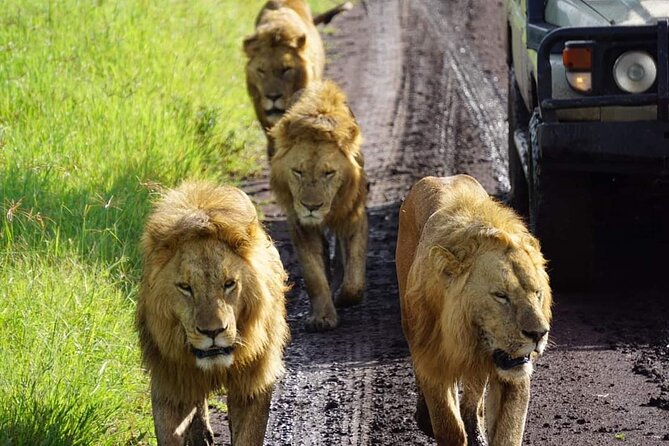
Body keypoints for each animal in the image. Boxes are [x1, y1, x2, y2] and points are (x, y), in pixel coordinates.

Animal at [135, 181, 290, 445]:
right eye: (185, 287)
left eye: (229, 284)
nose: (213, 332)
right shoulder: (169, 381)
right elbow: (169, 433)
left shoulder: (252, 384)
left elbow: (248, 435)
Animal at [269, 79, 368, 332]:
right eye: (298, 171)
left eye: (329, 173)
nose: (311, 206)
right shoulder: (299, 223)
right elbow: (313, 274)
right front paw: (322, 318)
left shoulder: (353, 213)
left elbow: (355, 278)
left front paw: (343, 296)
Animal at [396, 175, 552, 446]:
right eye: (501, 296)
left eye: (537, 293)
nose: (539, 334)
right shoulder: (433, 356)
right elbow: (448, 426)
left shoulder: (514, 373)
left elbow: (508, 431)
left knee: (473, 399)